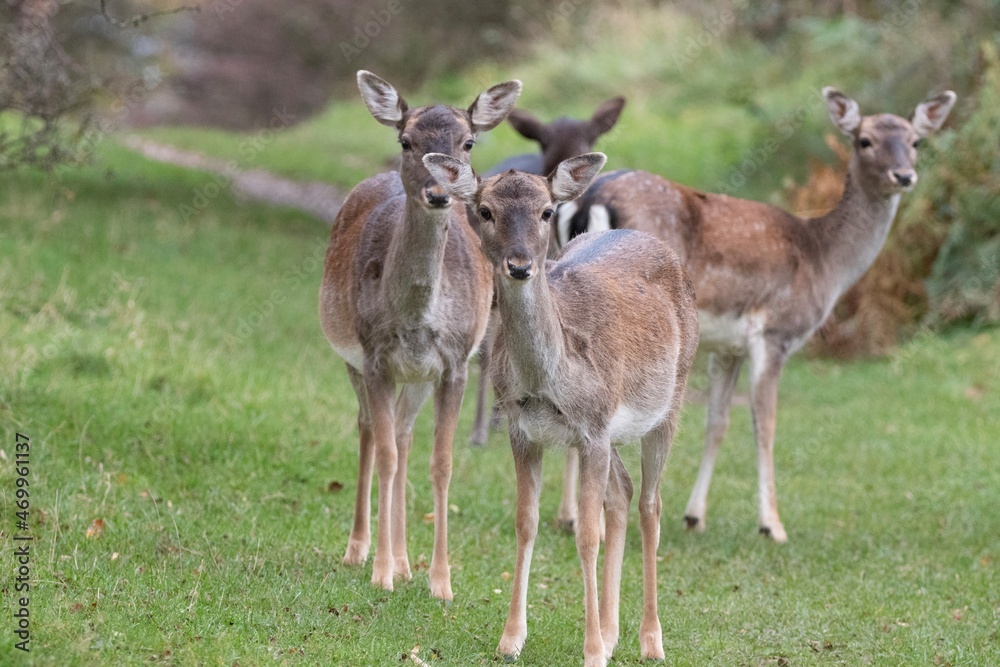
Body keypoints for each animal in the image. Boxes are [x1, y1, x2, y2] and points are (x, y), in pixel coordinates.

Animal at [318, 72, 524, 600]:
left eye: (468, 142)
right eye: (406, 140)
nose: (439, 193)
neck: (414, 317)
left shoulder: (454, 363)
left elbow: (441, 461)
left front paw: (440, 581)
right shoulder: (373, 356)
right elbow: (386, 456)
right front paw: (380, 574)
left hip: (417, 378)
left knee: (404, 433)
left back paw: (406, 561)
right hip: (352, 358)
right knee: (371, 431)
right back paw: (361, 551)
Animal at [426, 151, 700, 667]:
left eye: (546, 211)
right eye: (485, 211)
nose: (519, 265)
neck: (547, 382)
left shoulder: (591, 428)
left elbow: (586, 535)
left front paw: (591, 651)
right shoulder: (523, 429)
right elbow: (525, 523)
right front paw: (511, 639)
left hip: (672, 399)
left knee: (651, 505)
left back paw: (650, 640)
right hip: (613, 433)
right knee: (623, 492)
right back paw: (612, 632)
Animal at [552, 85, 956, 544]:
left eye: (915, 141)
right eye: (864, 140)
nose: (904, 176)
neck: (823, 261)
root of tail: (590, 200)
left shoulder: (727, 347)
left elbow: (717, 421)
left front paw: (695, 516)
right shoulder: (774, 333)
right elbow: (765, 424)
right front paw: (773, 525)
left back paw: (568, 517)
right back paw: (595, 525)